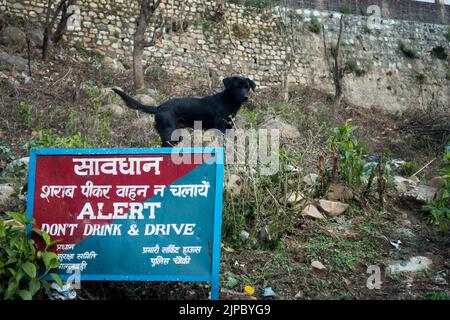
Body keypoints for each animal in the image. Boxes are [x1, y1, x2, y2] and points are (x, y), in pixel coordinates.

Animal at [112, 75, 255, 147]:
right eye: (237, 87)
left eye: (247, 87)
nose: (245, 97)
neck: (229, 102)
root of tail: (159, 107)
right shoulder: (219, 129)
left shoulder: (229, 129)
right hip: (169, 135)